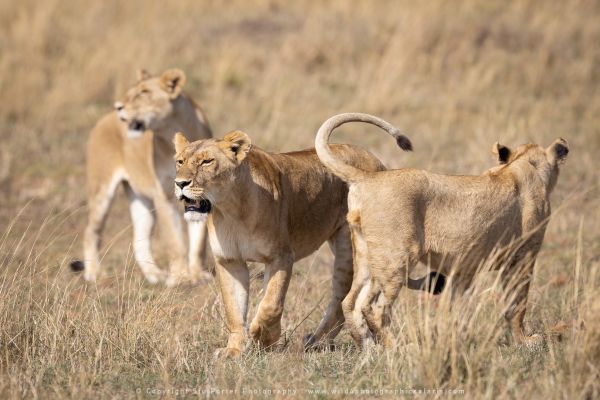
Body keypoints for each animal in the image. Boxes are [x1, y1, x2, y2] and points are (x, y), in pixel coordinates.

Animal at [71, 69, 213, 288]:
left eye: (143, 92)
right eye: (130, 94)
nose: (119, 106)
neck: (171, 130)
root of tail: (104, 118)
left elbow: (198, 242)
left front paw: (198, 275)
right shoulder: (163, 194)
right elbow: (174, 241)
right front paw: (180, 277)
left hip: (141, 200)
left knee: (139, 239)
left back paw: (155, 275)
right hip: (102, 190)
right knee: (90, 232)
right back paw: (95, 274)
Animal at [171, 130, 404, 358]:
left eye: (207, 162)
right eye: (180, 161)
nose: (180, 183)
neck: (231, 208)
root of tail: (374, 159)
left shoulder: (281, 256)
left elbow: (271, 303)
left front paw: (264, 337)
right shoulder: (230, 261)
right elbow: (234, 309)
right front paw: (234, 350)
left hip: (350, 246)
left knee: (342, 297)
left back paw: (317, 342)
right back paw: (316, 343)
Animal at [316, 111, 568, 346]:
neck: (523, 165)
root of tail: (366, 178)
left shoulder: (463, 268)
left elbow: (453, 308)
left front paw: (453, 339)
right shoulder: (524, 255)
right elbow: (517, 303)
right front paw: (526, 340)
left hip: (367, 255)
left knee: (350, 302)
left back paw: (369, 347)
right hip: (397, 256)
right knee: (373, 308)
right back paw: (398, 347)